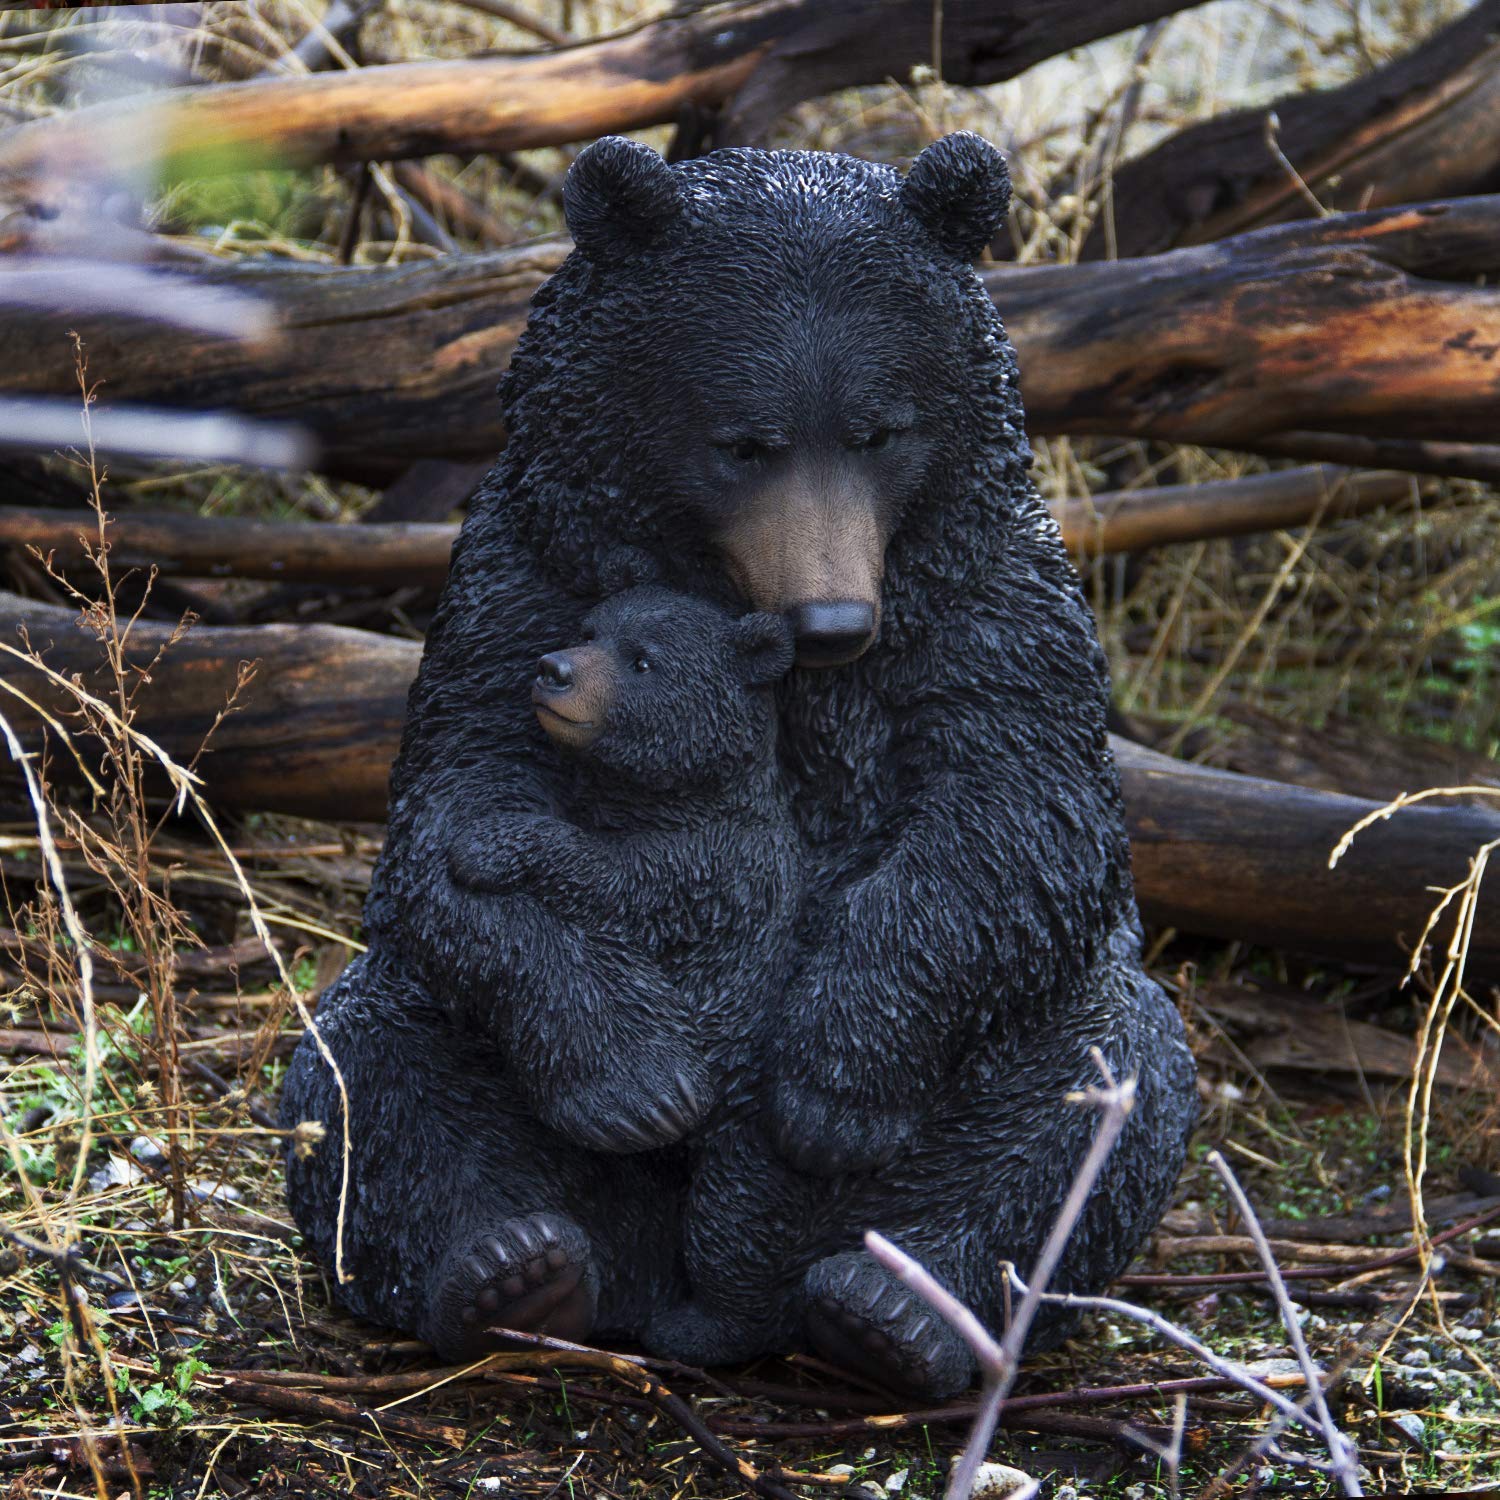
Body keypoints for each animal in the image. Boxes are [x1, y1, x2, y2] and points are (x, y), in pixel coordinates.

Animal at [280, 130, 1198, 1397]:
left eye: (880, 430)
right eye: (744, 442)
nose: (832, 616)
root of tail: (703, 1301)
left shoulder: (993, 606)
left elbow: (1019, 816)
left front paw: (832, 1091)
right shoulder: (515, 584)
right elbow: (457, 808)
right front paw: (631, 1080)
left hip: (973, 1110)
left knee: (1100, 1080)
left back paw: (901, 1309)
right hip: (504, 1114)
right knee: (369, 1063)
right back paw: (509, 1270)